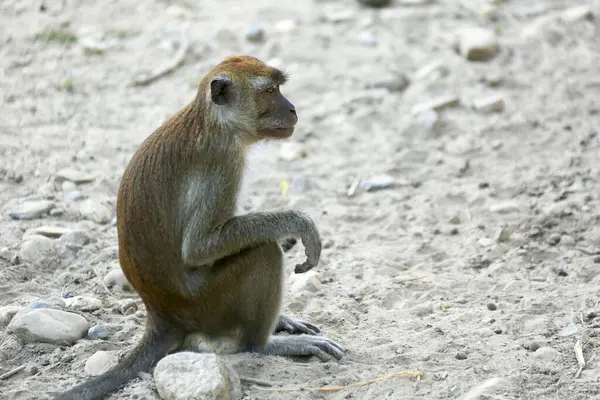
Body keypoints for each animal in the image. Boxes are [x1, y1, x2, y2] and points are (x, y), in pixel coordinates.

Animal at [56, 56, 346, 400]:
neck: (214, 122)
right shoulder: (223, 161)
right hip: (208, 304)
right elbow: (199, 247)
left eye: (278, 88)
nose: (291, 108)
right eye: (269, 91)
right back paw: (262, 345)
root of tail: (163, 315)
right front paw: (298, 223)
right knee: (262, 252)